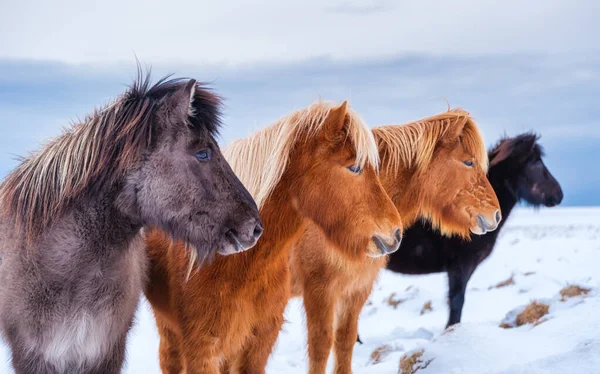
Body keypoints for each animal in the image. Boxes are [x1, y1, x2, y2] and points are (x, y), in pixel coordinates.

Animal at [290, 108, 502, 374]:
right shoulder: (319, 290)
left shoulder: (356, 289)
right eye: (468, 161)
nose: (496, 214)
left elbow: (345, 341)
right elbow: (320, 347)